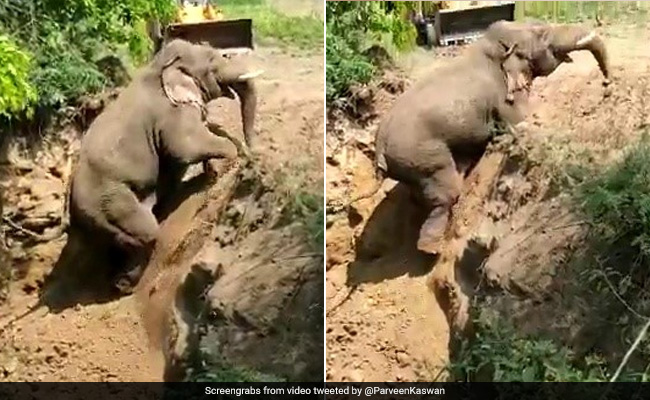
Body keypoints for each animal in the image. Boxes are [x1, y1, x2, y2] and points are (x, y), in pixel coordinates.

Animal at [68, 39, 262, 293]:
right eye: (213, 60)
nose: (254, 152)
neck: (159, 65)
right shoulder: (169, 112)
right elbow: (185, 146)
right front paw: (231, 158)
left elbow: (206, 132)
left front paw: (221, 163)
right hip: (109, 202)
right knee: (146, 233)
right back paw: (125, 286)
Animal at [373, 21, 610, 255]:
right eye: (542, 33)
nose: (607, 83)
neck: (491, 46)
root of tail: (379, 147)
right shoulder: (503, 98)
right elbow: (519, 120)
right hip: (423, 155)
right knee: (446, 194)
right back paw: (431, 249)